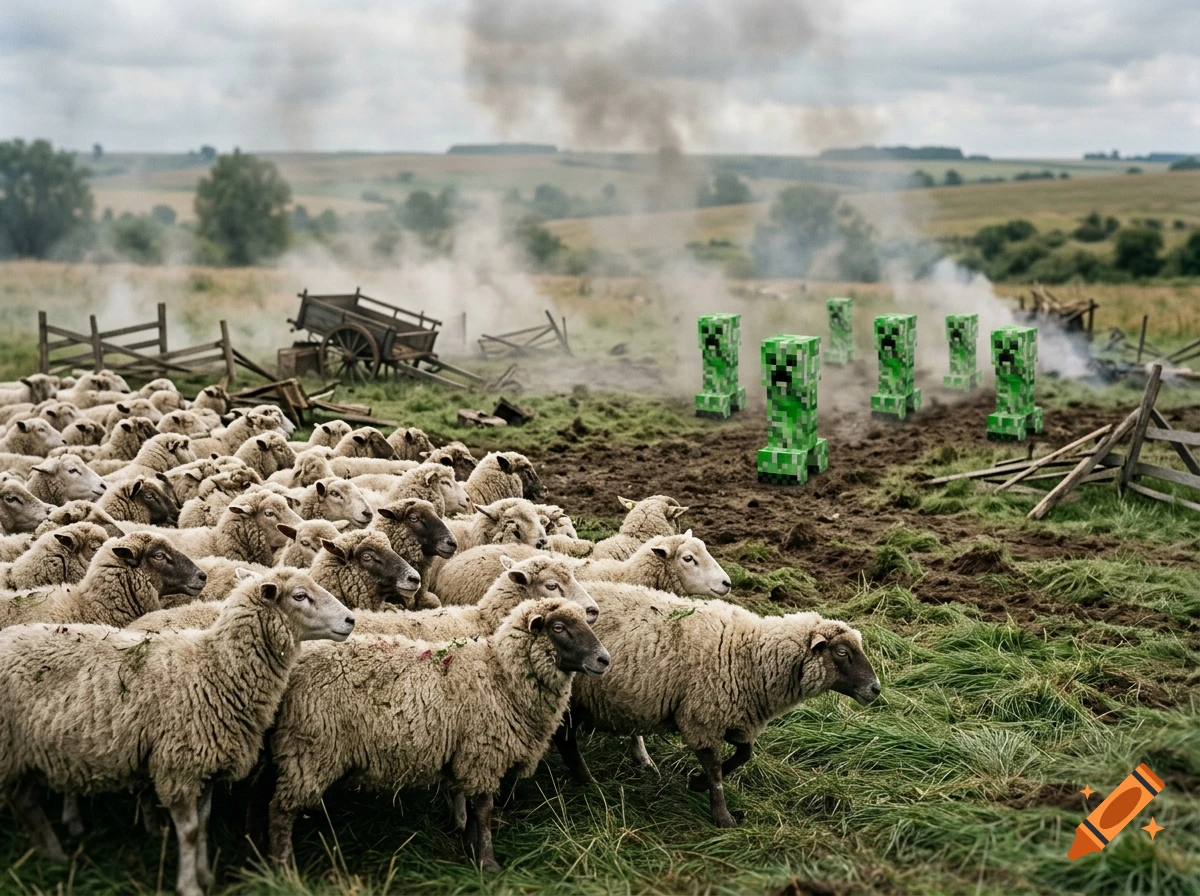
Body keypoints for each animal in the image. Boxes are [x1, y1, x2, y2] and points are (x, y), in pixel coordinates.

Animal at [0, 569, 353, 895]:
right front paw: (190, 885)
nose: (351, 619)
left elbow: (205, 823)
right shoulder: (179, 766)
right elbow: (190, 831)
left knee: (26, 802)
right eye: (299, 596)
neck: (215, 670)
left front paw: (206, 874)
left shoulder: (207, 765)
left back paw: (52, 854)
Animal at [267, 595, 608, 871]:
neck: (501, 675)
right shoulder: (483, 753)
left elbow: (470, 805)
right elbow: (484, 810)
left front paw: (469, 846)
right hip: (310, 748)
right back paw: (283, 870)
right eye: (558, 627)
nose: (604, 659)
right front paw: (487, 862)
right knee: (280, 812)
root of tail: (297, 662)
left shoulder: (466, 754)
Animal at [558, 583, 881, 827]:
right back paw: (587, 781)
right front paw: (722, 816)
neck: (752, 655)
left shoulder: (736, 716)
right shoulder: (702, 716)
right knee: (566, 740)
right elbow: (715, 769)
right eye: (842, 651)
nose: (876, 689)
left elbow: (744, 754)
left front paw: (697, 783)